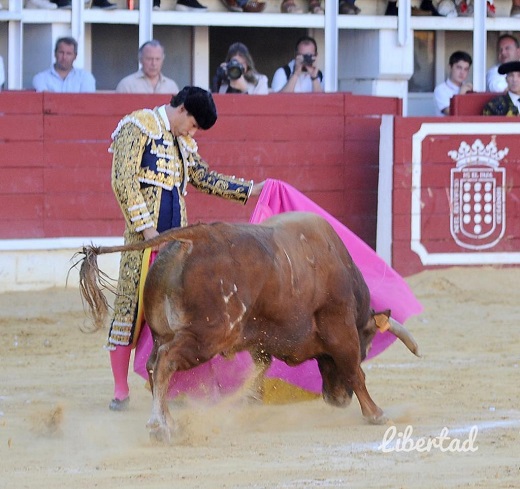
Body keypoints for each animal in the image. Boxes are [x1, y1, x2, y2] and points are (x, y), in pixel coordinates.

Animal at [78, 212, 418, 440]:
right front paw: (376, 414)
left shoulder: (261, 338)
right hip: (205, 337)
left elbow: (261, 367)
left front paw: (249, 401)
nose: (338, 399)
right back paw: (160, 427)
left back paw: (169, 421)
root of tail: (190, 238)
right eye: (366, 348)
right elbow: (354, 372)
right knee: (164, 362)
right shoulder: (341, 330)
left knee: (152, 363)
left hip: (165, 332)